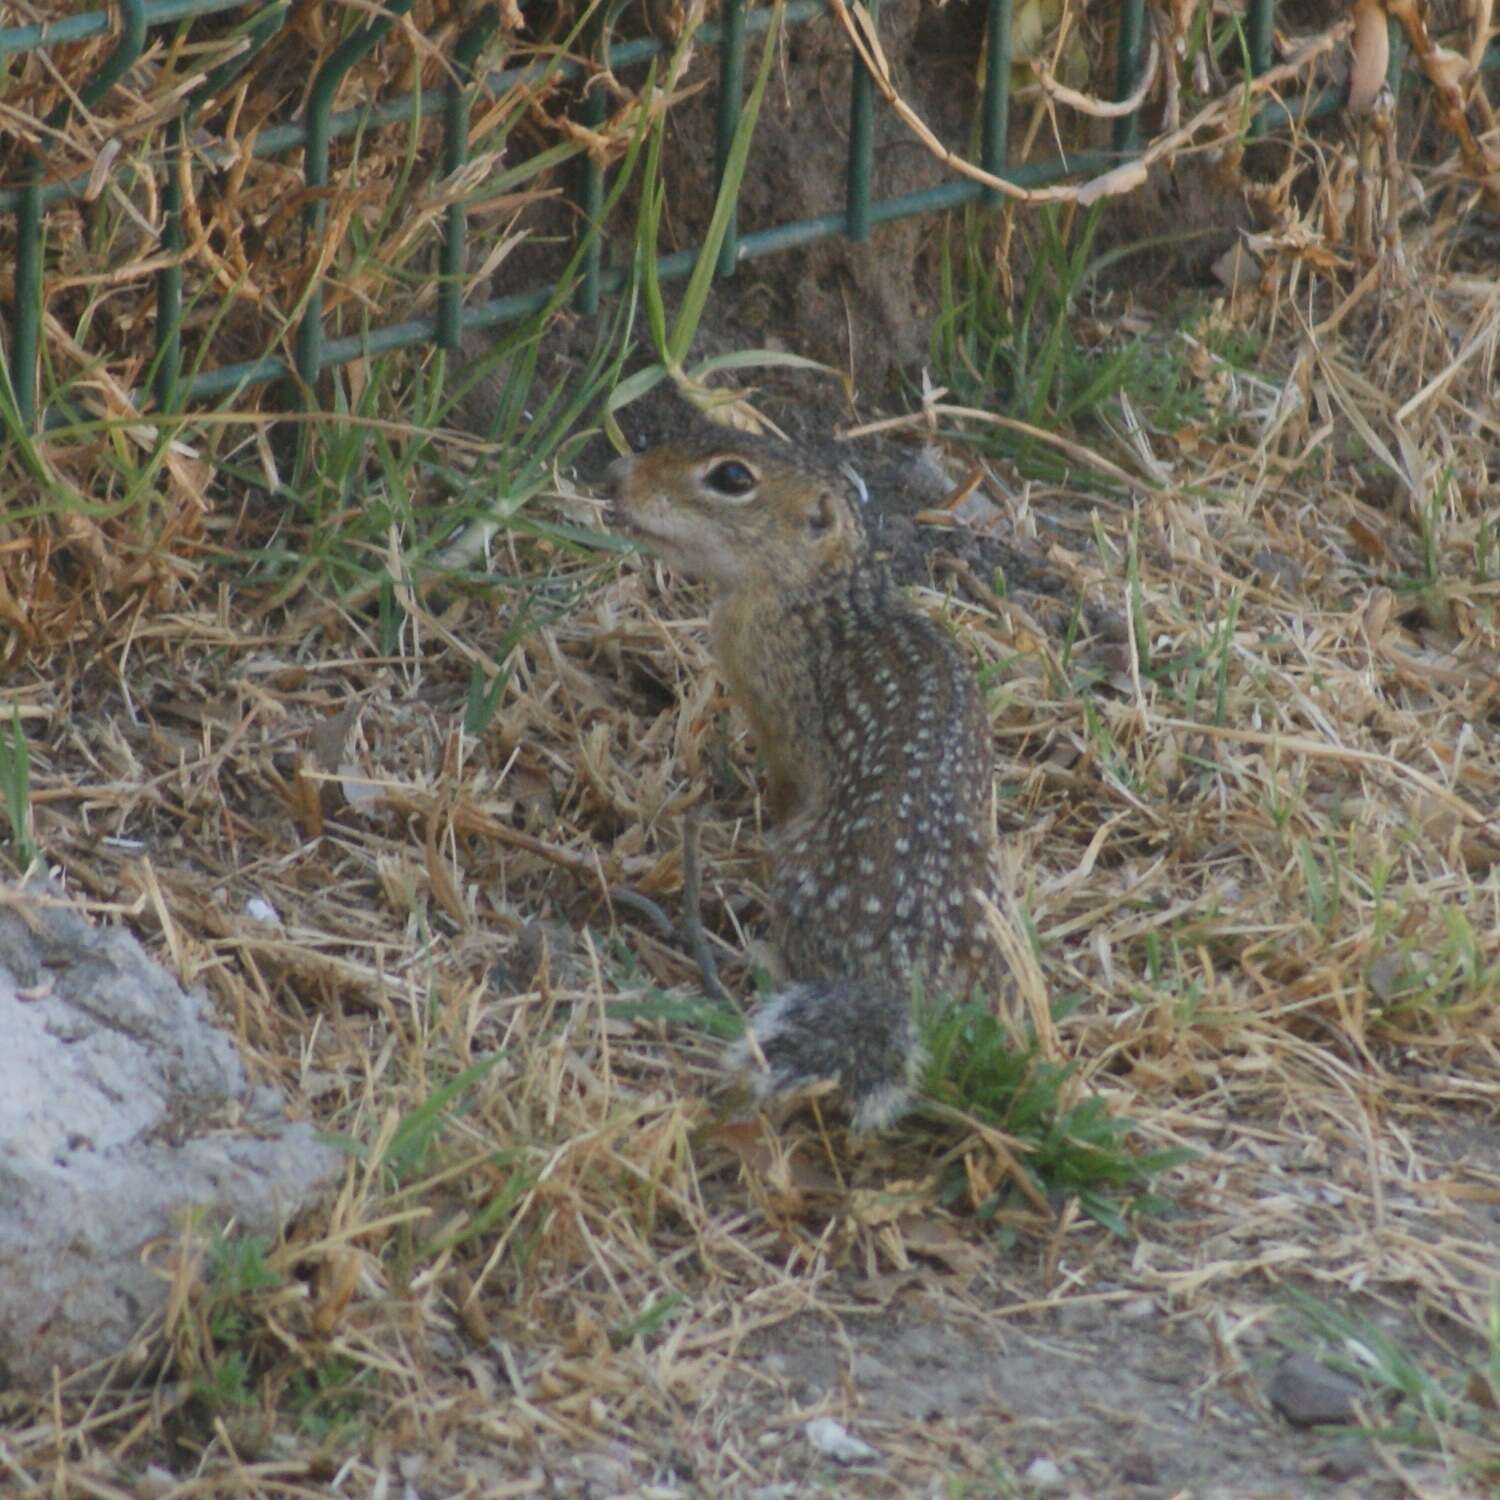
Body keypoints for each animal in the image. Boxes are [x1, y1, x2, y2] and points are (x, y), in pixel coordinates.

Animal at [603, 429, 1002, 1128]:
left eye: (732, 478)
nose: (617, 476)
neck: (825, 595)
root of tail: (897, 974)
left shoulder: (778, 722)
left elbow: (782, 783)